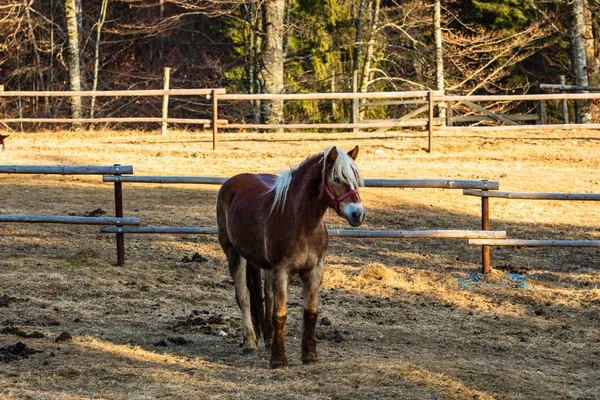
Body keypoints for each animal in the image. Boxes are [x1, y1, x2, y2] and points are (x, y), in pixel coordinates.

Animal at [217, 145, 366, 368]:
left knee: (267, 298)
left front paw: (310, 356)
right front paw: (279, 360)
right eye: (336, 179)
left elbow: (310, 312)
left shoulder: (315, 271)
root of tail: (230, 184)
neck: (302, 224)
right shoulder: (281, 271)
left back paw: (269, 340)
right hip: (234, 254)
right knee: (243, 297)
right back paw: (250, 344)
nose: (358, 214)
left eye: (355, 177)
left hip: (264, 266)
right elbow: (280, 313)